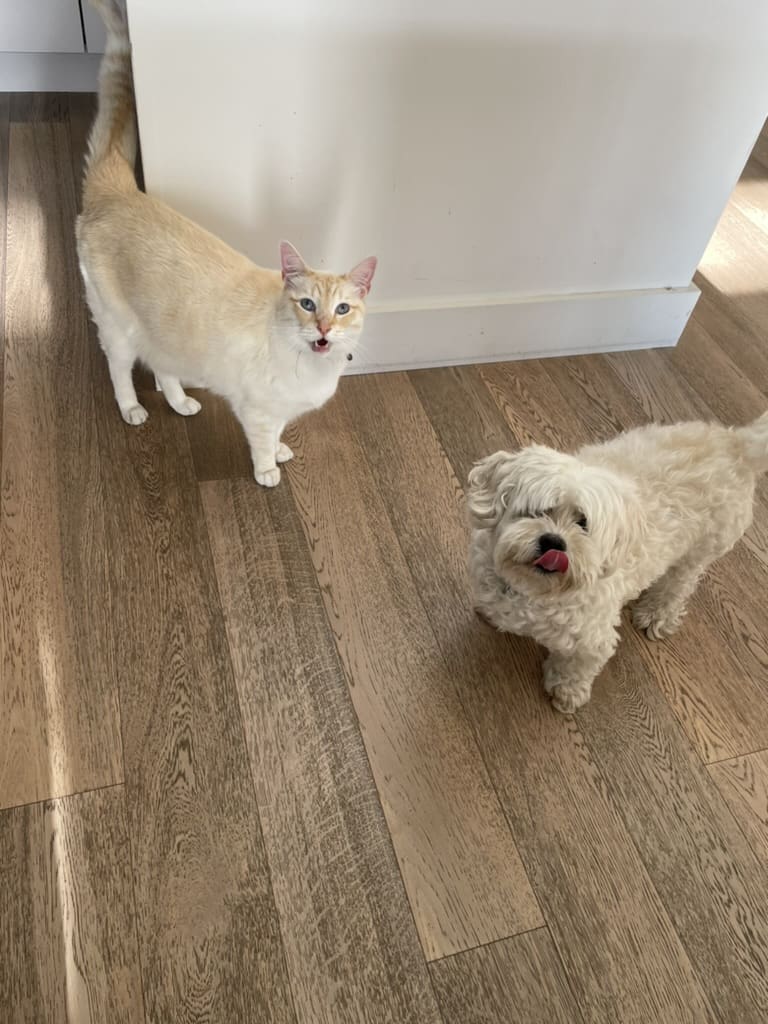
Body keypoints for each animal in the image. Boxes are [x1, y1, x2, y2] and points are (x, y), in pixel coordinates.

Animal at [78, 1, 378, 487]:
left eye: (342, 309)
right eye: (308, 305)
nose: (323, 330)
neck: (312, 365)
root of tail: (120, 191)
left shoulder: (281, 409)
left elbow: (280, 432)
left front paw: (282, 452)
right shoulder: (258, 409)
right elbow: (263, 442)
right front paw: (269, 470)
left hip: (165, 333)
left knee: (162, 368)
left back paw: (181, 403)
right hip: (117, 326)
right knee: (121, 370)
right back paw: (133, 410)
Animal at [468, 411, 768, 716]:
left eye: (583, 523)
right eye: (538, 511)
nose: (554, 542)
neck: (533, 589)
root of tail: (736, 443)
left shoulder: (592, 639)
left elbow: (576, 668)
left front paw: (567, 692)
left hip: (701, 548)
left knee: (679, 582)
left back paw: (657, 613)